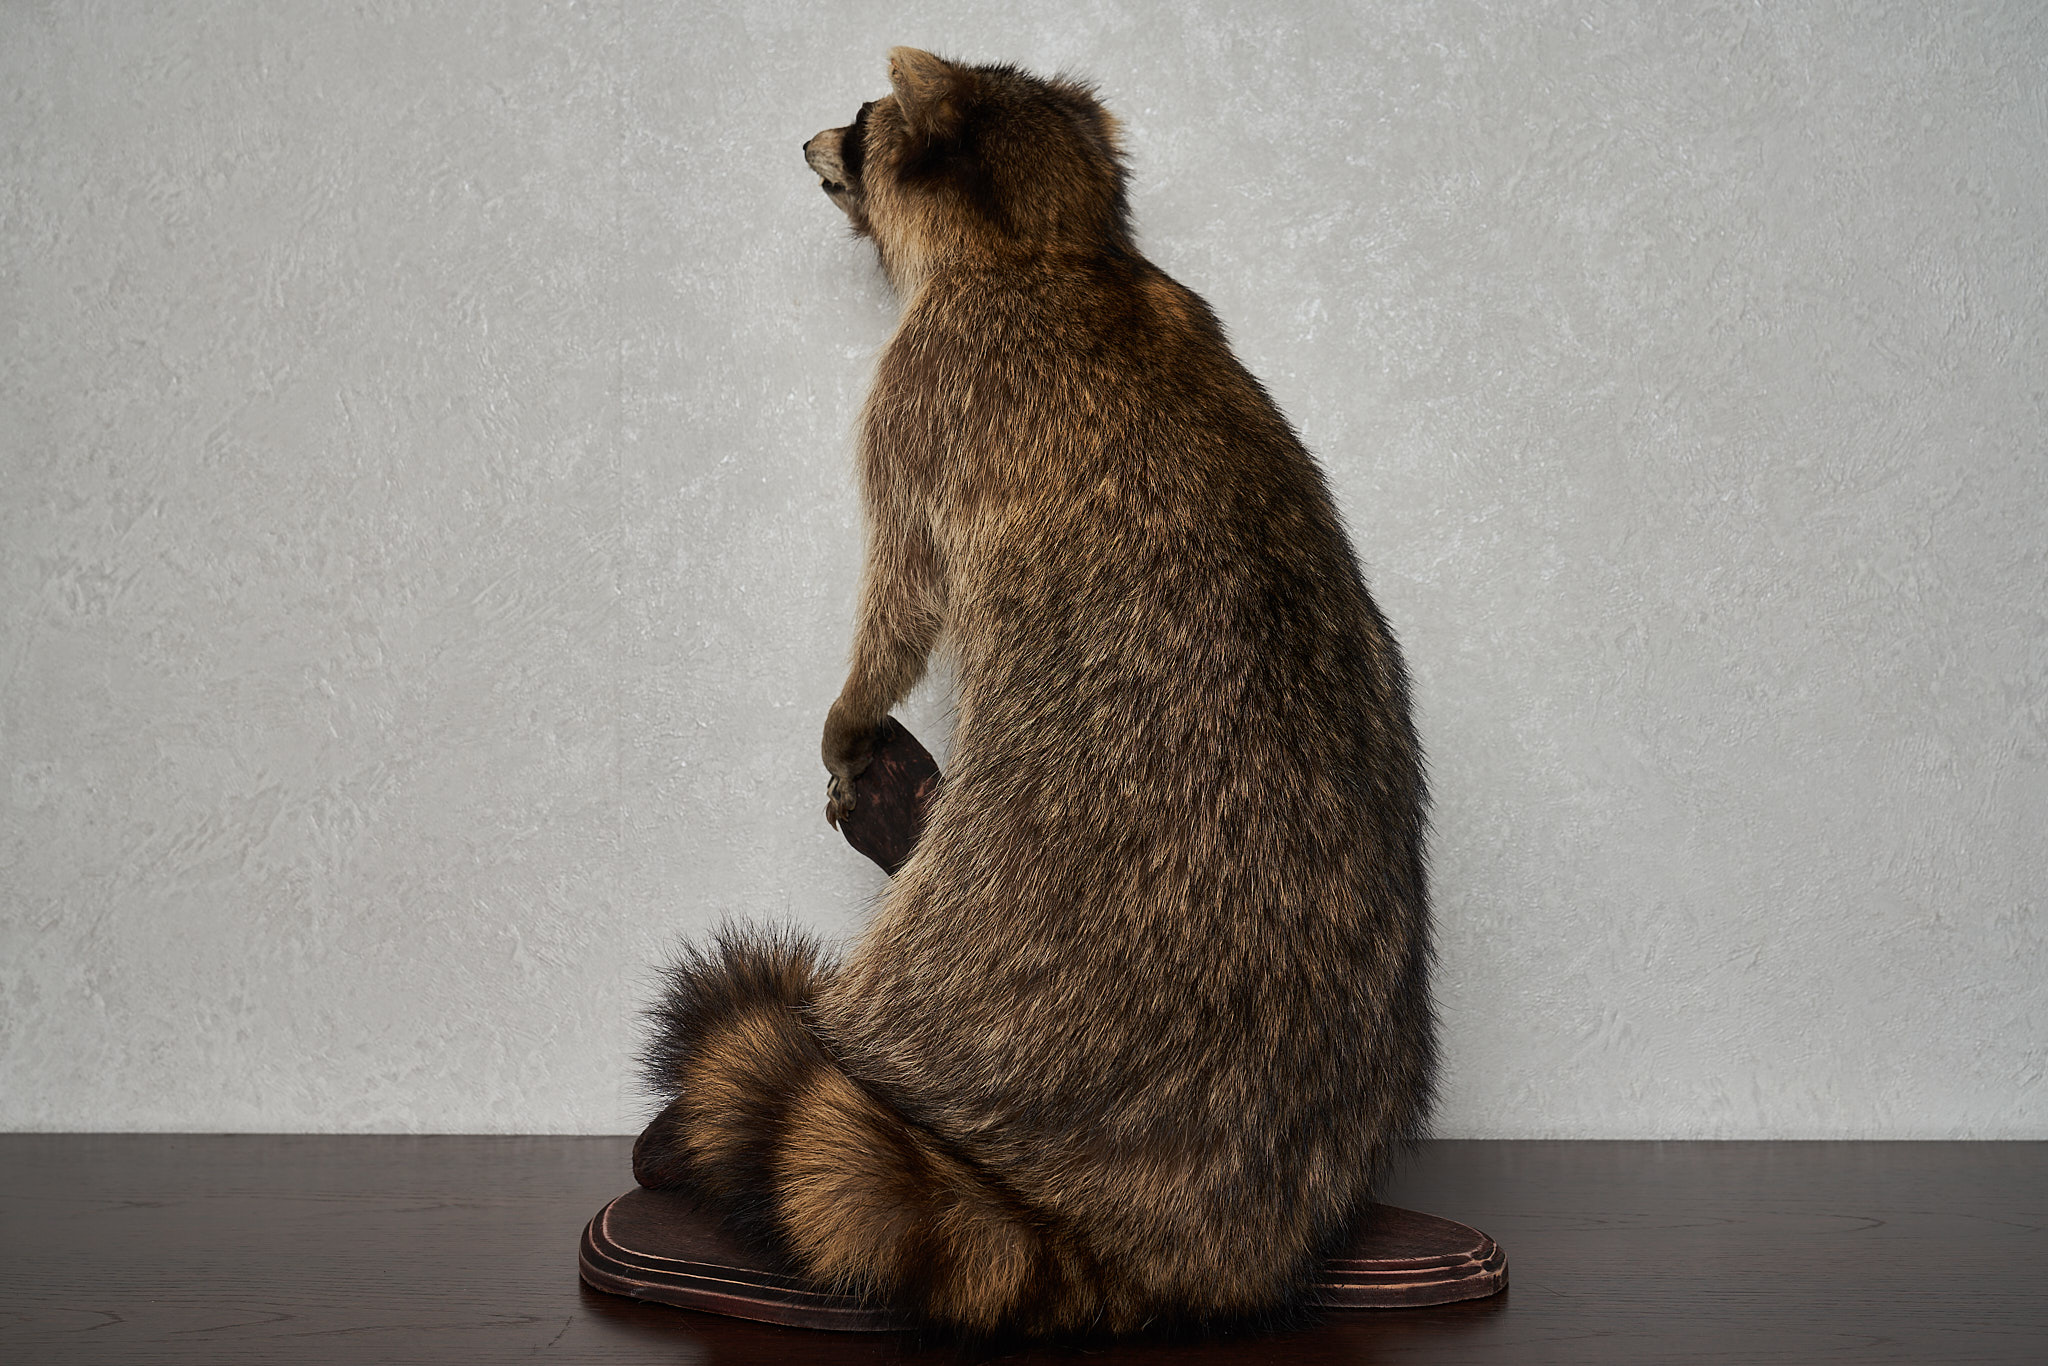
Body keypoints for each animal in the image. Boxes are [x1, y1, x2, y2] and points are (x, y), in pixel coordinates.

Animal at [634, 48, 1435, 1337]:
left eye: (858, 121)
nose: (805, 140)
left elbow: (901, 589)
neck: (1058, 249)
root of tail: (1196, 1239)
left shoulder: (924, 391)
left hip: (976, 943)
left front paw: (847, 707)